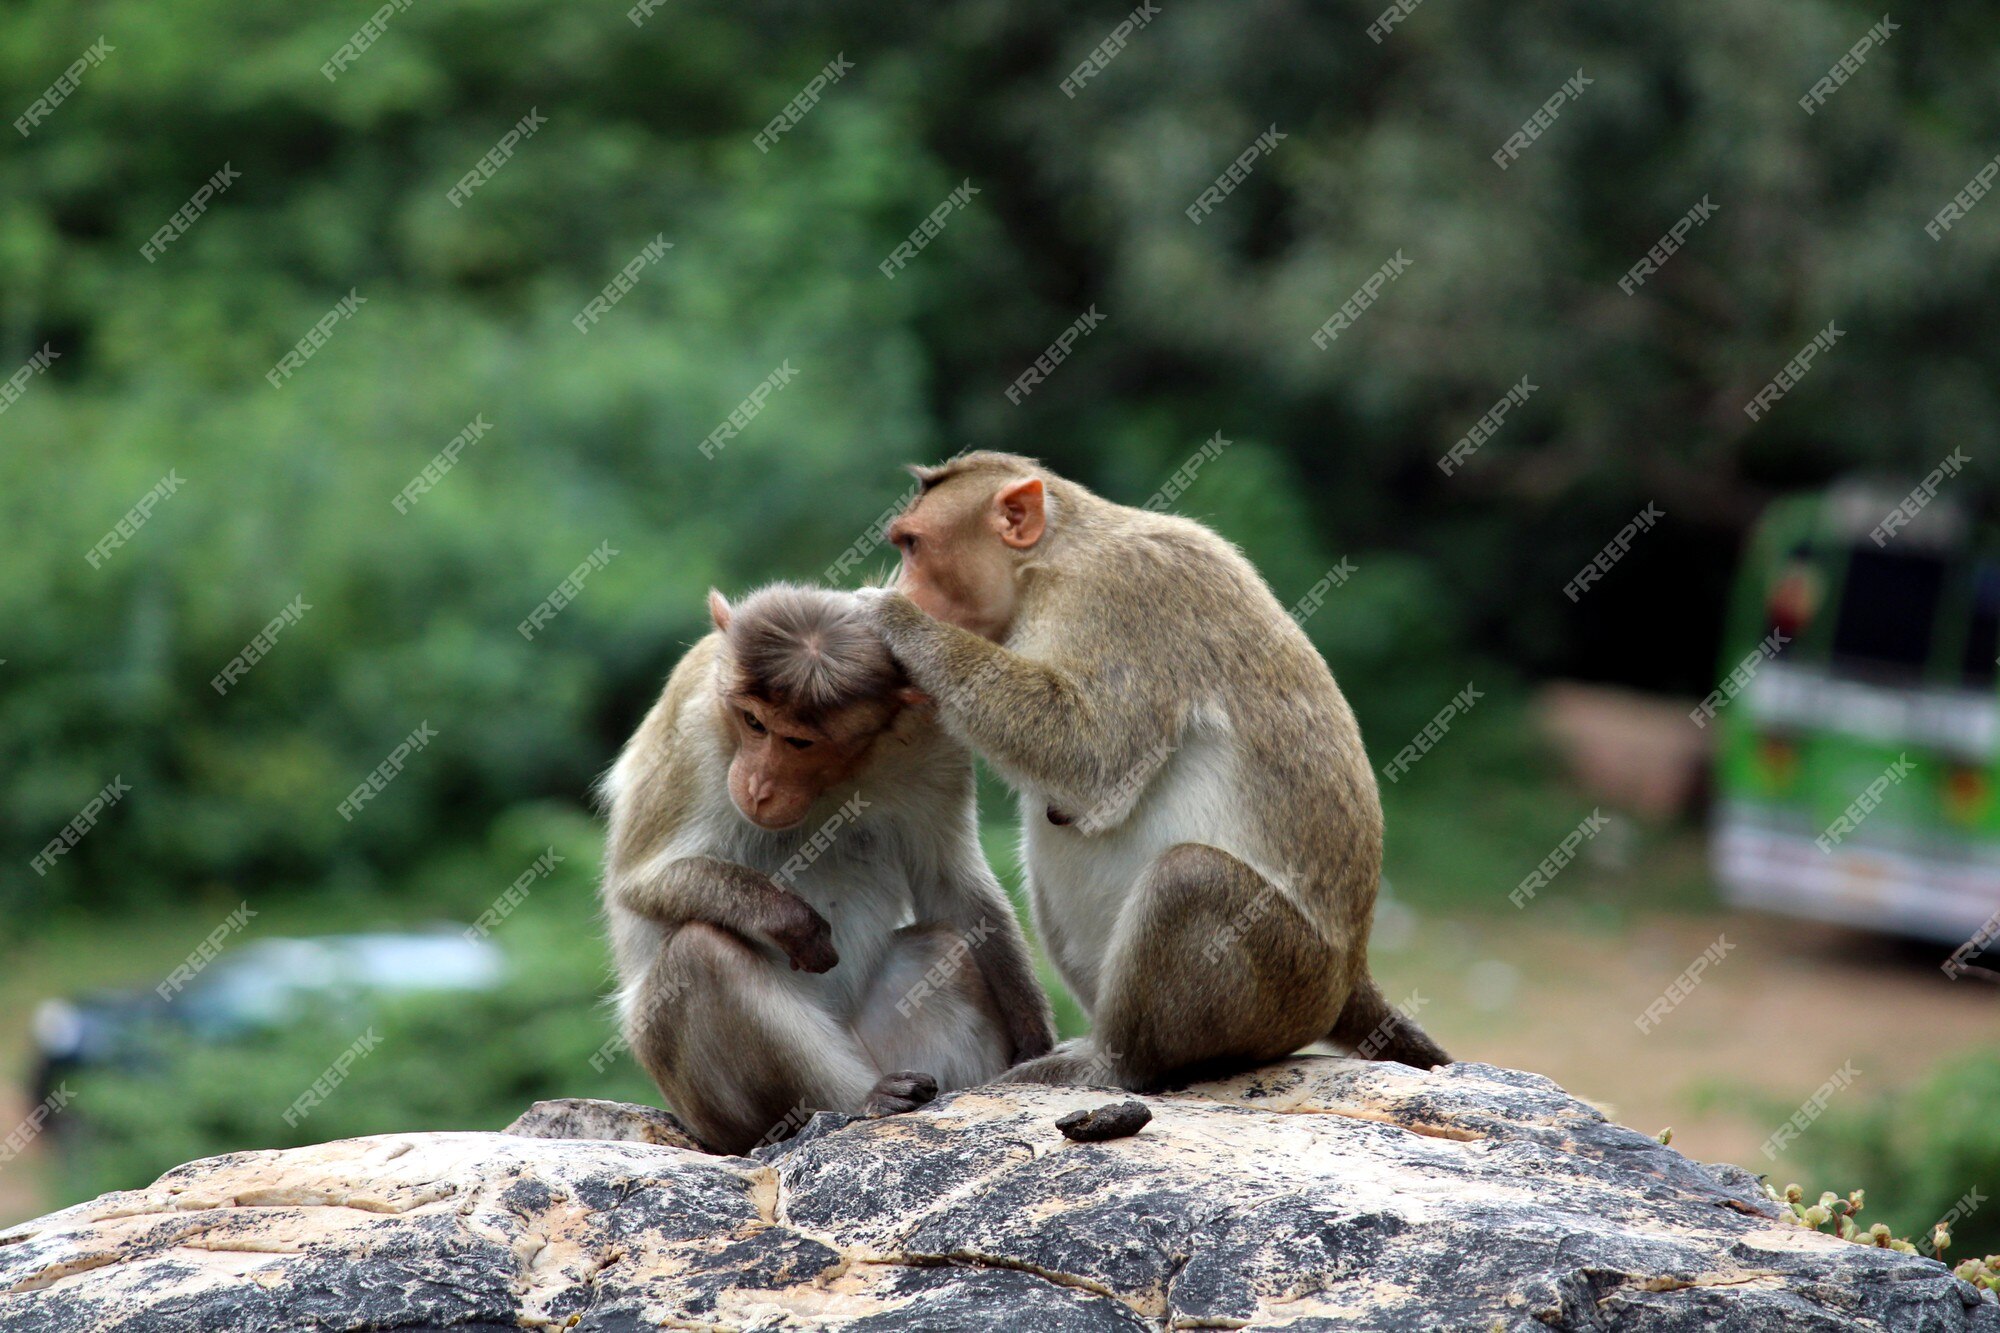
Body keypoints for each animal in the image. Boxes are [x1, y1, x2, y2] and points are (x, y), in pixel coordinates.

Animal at [596, 580, 1056, 1152]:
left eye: (799, 741)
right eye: (753, 722)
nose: (758, 787)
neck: (835, 778)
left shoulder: (932, 738)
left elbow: (952, 884)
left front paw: (1034, 1039)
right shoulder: (693, 719)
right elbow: (639, 882)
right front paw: (788, 920)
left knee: (946, 946)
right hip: (713, 1110)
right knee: (699, 954)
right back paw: (862, 1099)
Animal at [860, 452, 1456, 1088]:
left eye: (913, 546)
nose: (904, 586)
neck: (1048, 566)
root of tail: (1350, 974)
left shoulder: (1123, 595)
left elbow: (1094, 757)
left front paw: (893, 619)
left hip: (1290, 981)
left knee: (1188, 877)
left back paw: (1114, 1065)